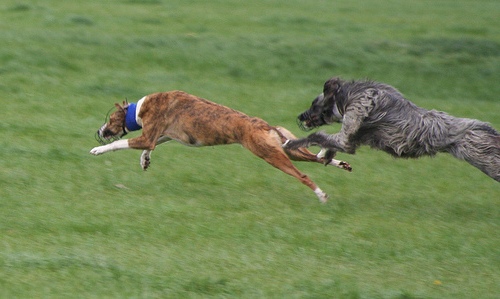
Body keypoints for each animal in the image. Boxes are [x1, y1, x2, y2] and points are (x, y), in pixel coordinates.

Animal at [90, 91, 350, 203]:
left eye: (110, 120)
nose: (99, 132)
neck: (139, 108)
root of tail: (266, 126)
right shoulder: (163, 136)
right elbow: (153, 146)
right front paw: (145, 160)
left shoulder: (148, 135)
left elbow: (121, 143)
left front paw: (98, 150)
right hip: (288, 150)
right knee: (318, 158)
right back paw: (340, 163)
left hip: (271, 155)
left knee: (304, 175)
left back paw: (321, 195)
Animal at [286, 76, 500, 182]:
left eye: (314, 104)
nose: (300, 116)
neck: (346, 97)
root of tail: (486, 129)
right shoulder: (351, 140)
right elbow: (333, 144)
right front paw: (327, 155)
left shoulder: (355, 115)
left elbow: (317, 136)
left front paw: (290, 143)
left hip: (486, 159)